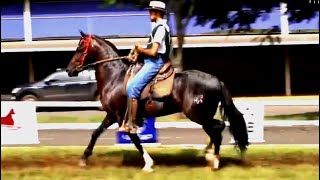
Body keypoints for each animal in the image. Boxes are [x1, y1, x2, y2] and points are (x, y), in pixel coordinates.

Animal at [65, 31, 250, 171]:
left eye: (80, 48)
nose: (69, 70)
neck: (115, 77)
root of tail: (217, 81)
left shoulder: (120, 116)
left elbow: (134, 139)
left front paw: (148, 163)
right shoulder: (112, 115)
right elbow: (96, 133)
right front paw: (84, 158)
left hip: (198, 115)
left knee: (218, 127)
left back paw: (214, 159)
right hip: (202, 116)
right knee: (217, 129)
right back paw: (209, 154)